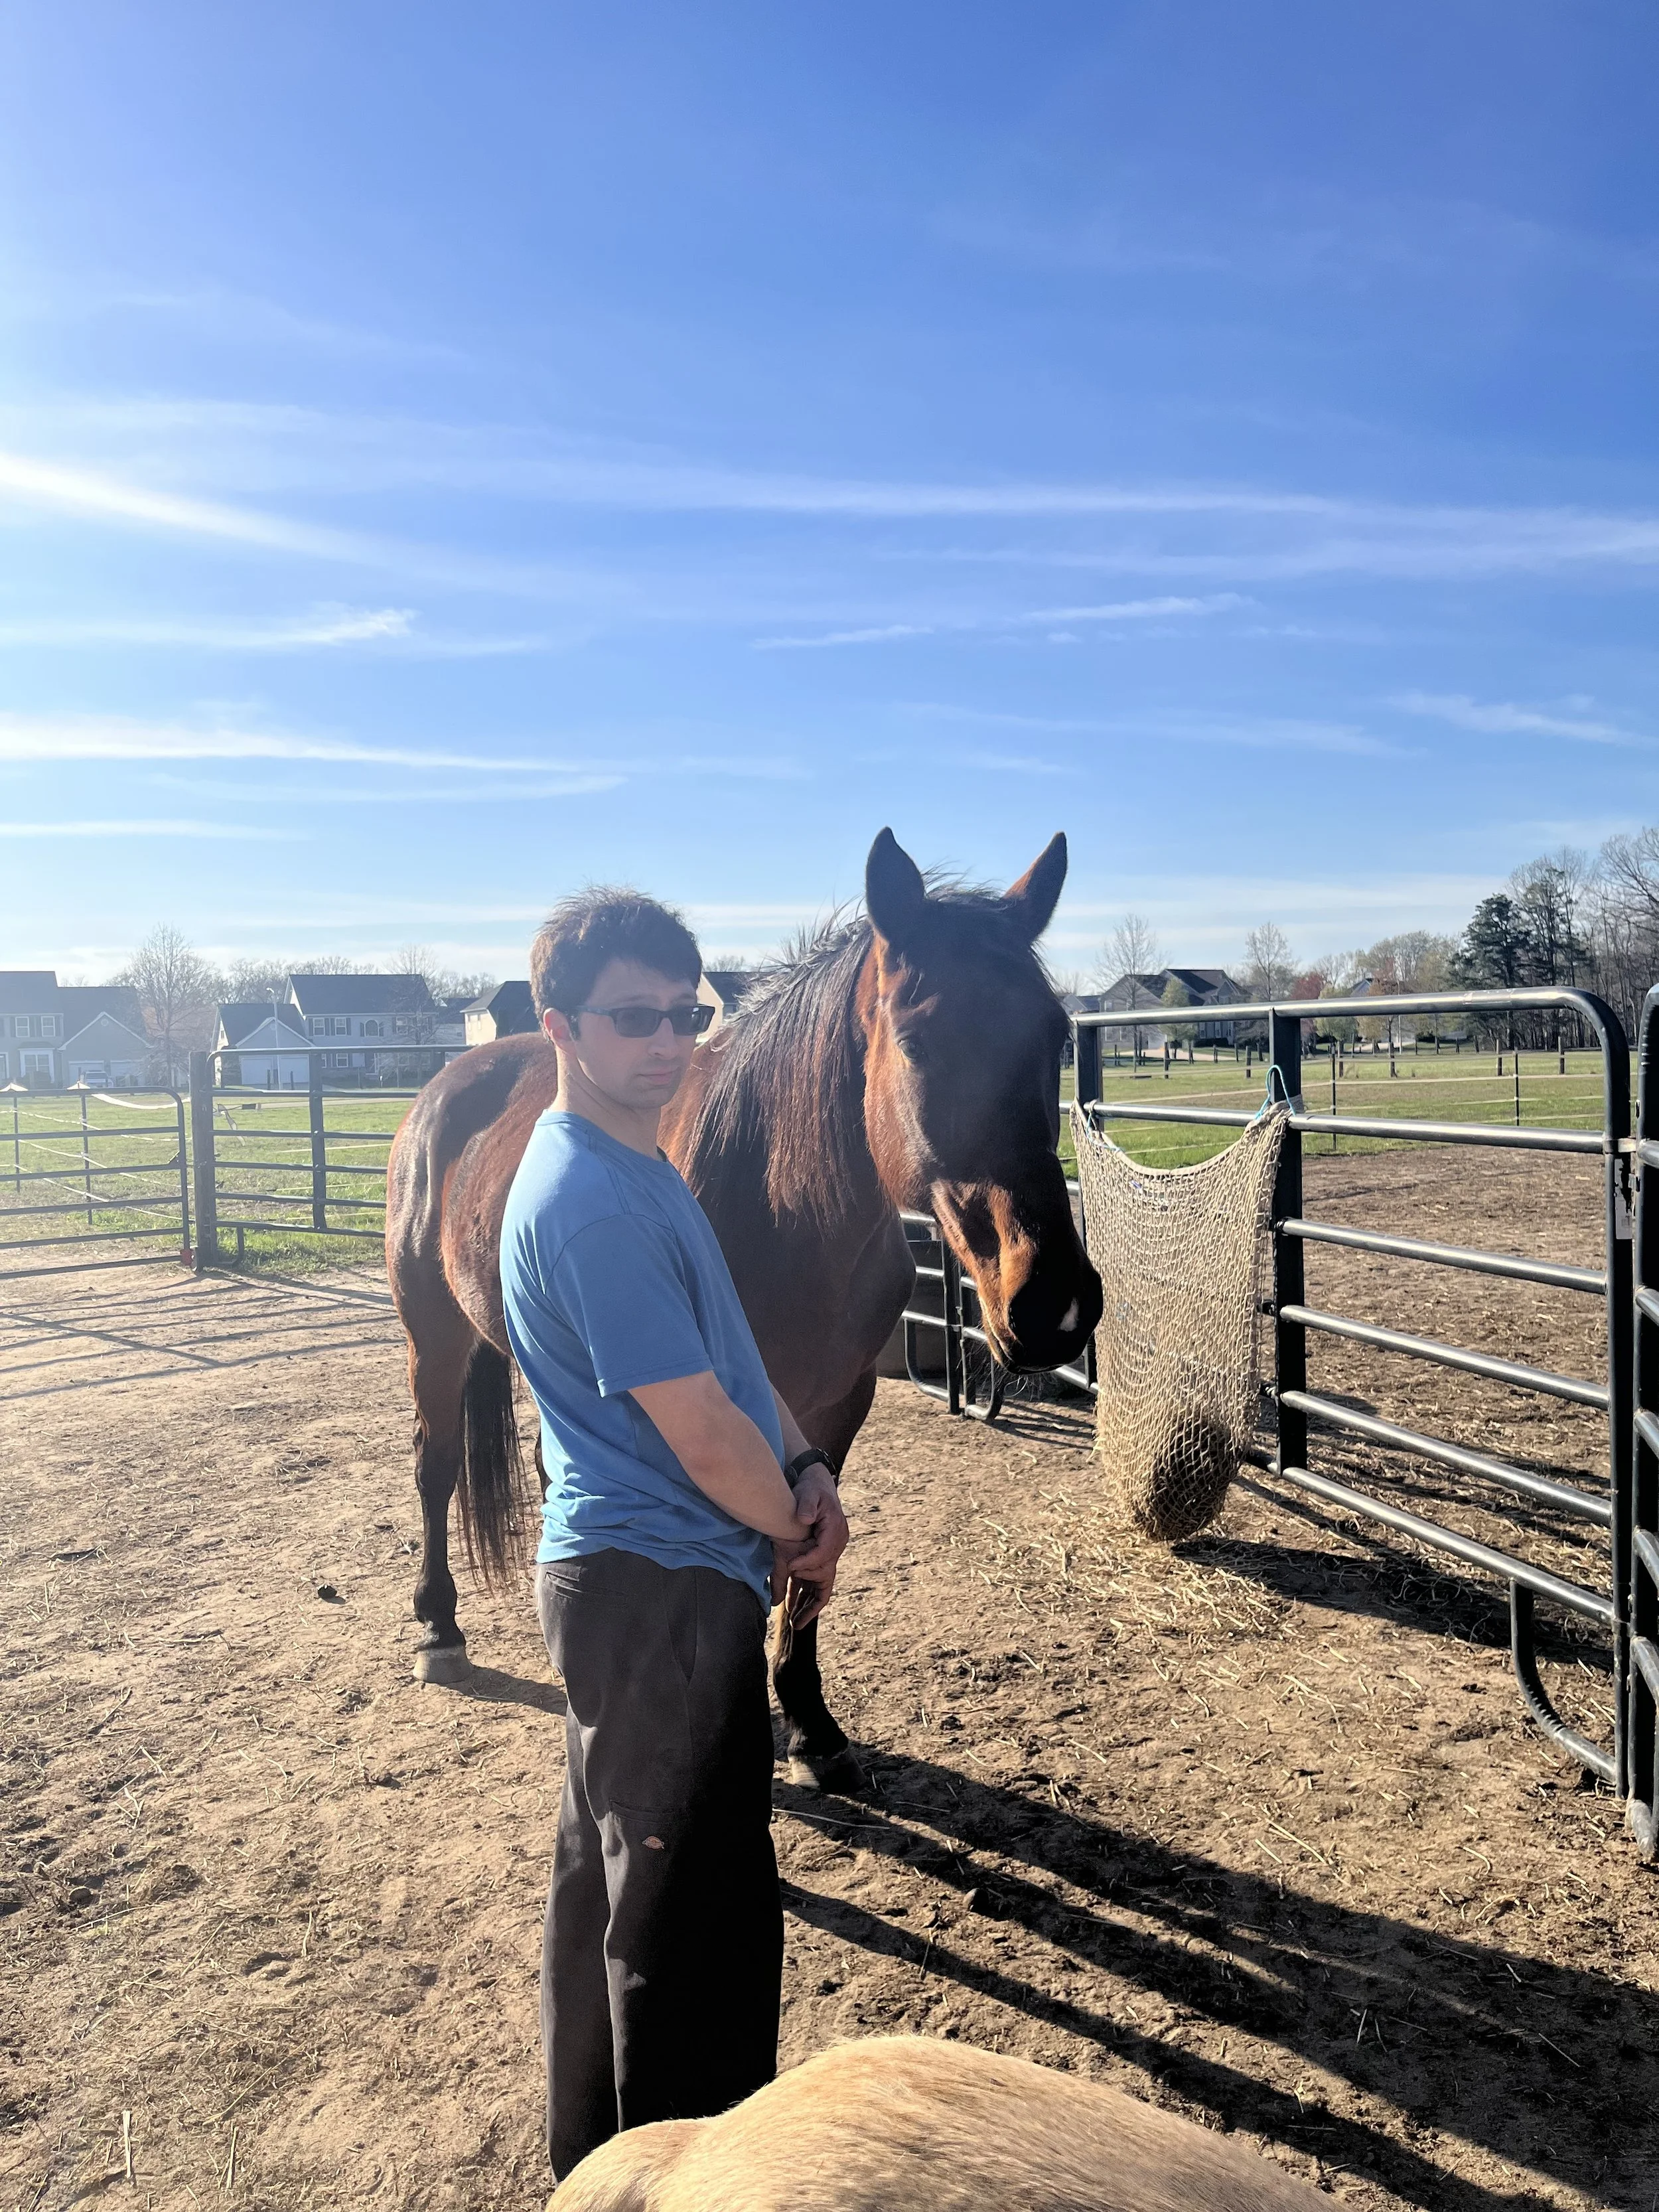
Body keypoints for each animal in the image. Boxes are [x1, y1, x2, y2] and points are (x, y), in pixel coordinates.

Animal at [384, 828, 1103, 1789]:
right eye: (917, 1040)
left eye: (1056, 1036)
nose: (1051, 1302)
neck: (781, 1206)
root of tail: (447, 1084)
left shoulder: (834, 1405)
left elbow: (805, 1560)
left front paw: (809, 1721)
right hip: (434, 1338)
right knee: (435, 1467)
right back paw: (439, 1627)